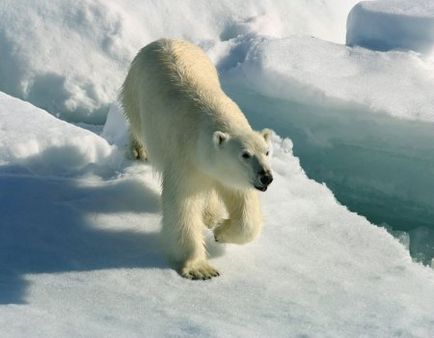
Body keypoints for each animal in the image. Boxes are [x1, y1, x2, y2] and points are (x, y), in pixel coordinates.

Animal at [120, 39, 272, 280]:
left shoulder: (228, 173)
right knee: (137, 124)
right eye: (245, 154)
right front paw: (200, 269)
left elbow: (244, 205)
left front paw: (220, 230)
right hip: (135, 91)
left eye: (266, 152)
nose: (266, 177)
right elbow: (182, 204)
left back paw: (211, 216)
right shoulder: (185, 159)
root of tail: (164, 39)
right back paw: (139, 149)